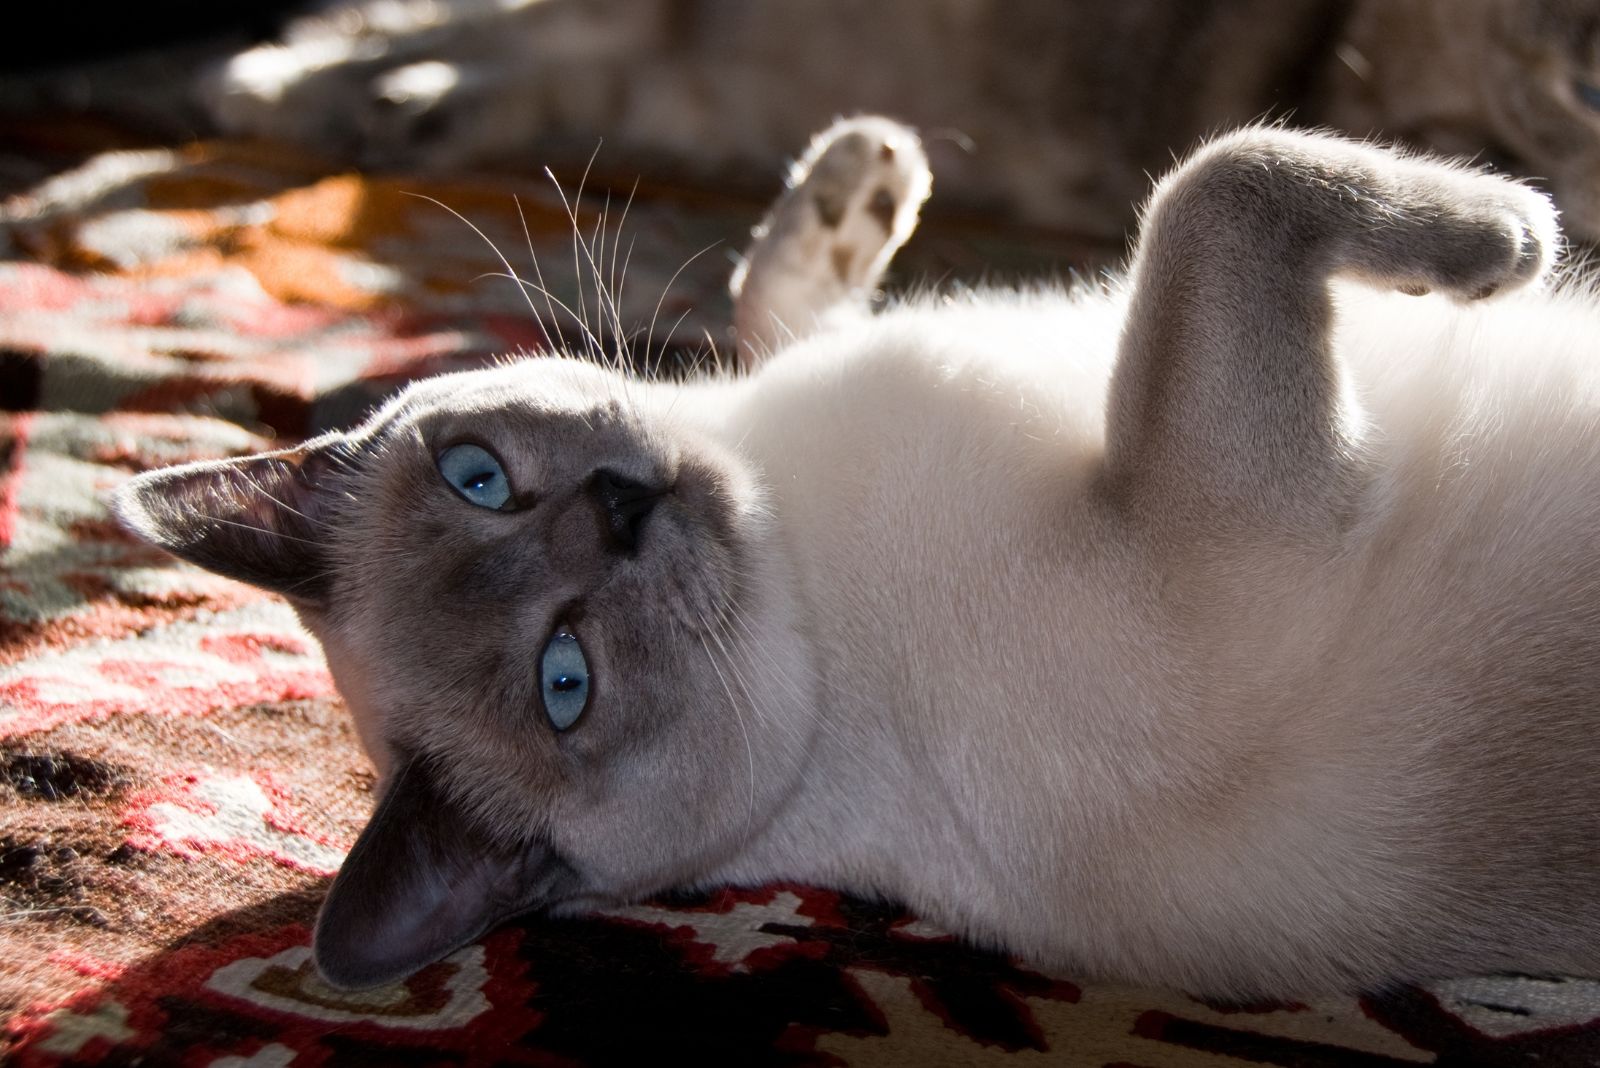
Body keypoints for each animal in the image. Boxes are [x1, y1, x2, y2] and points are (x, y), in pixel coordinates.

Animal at [116, 119, 1600, 1004]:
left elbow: (765, 299)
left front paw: (856, 186)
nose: (623, 509)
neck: (791, 515)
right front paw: (1510, 235)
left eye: (478, 476)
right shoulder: (1234, 535)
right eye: (564, 681)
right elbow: (1216, 183)